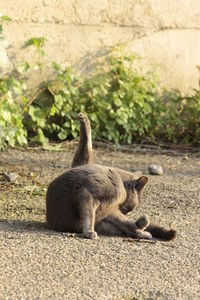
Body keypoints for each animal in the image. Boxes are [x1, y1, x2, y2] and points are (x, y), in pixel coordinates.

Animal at [46, 113, 177, 241]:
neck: (121, 185)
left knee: (129, 227)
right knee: (128, 227)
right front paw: (89, 232)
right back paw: (144, 228)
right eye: (131, 208)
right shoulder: (86, 193)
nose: (127, 212)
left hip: (108, 212)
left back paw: (145, 227)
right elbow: (88, 215)